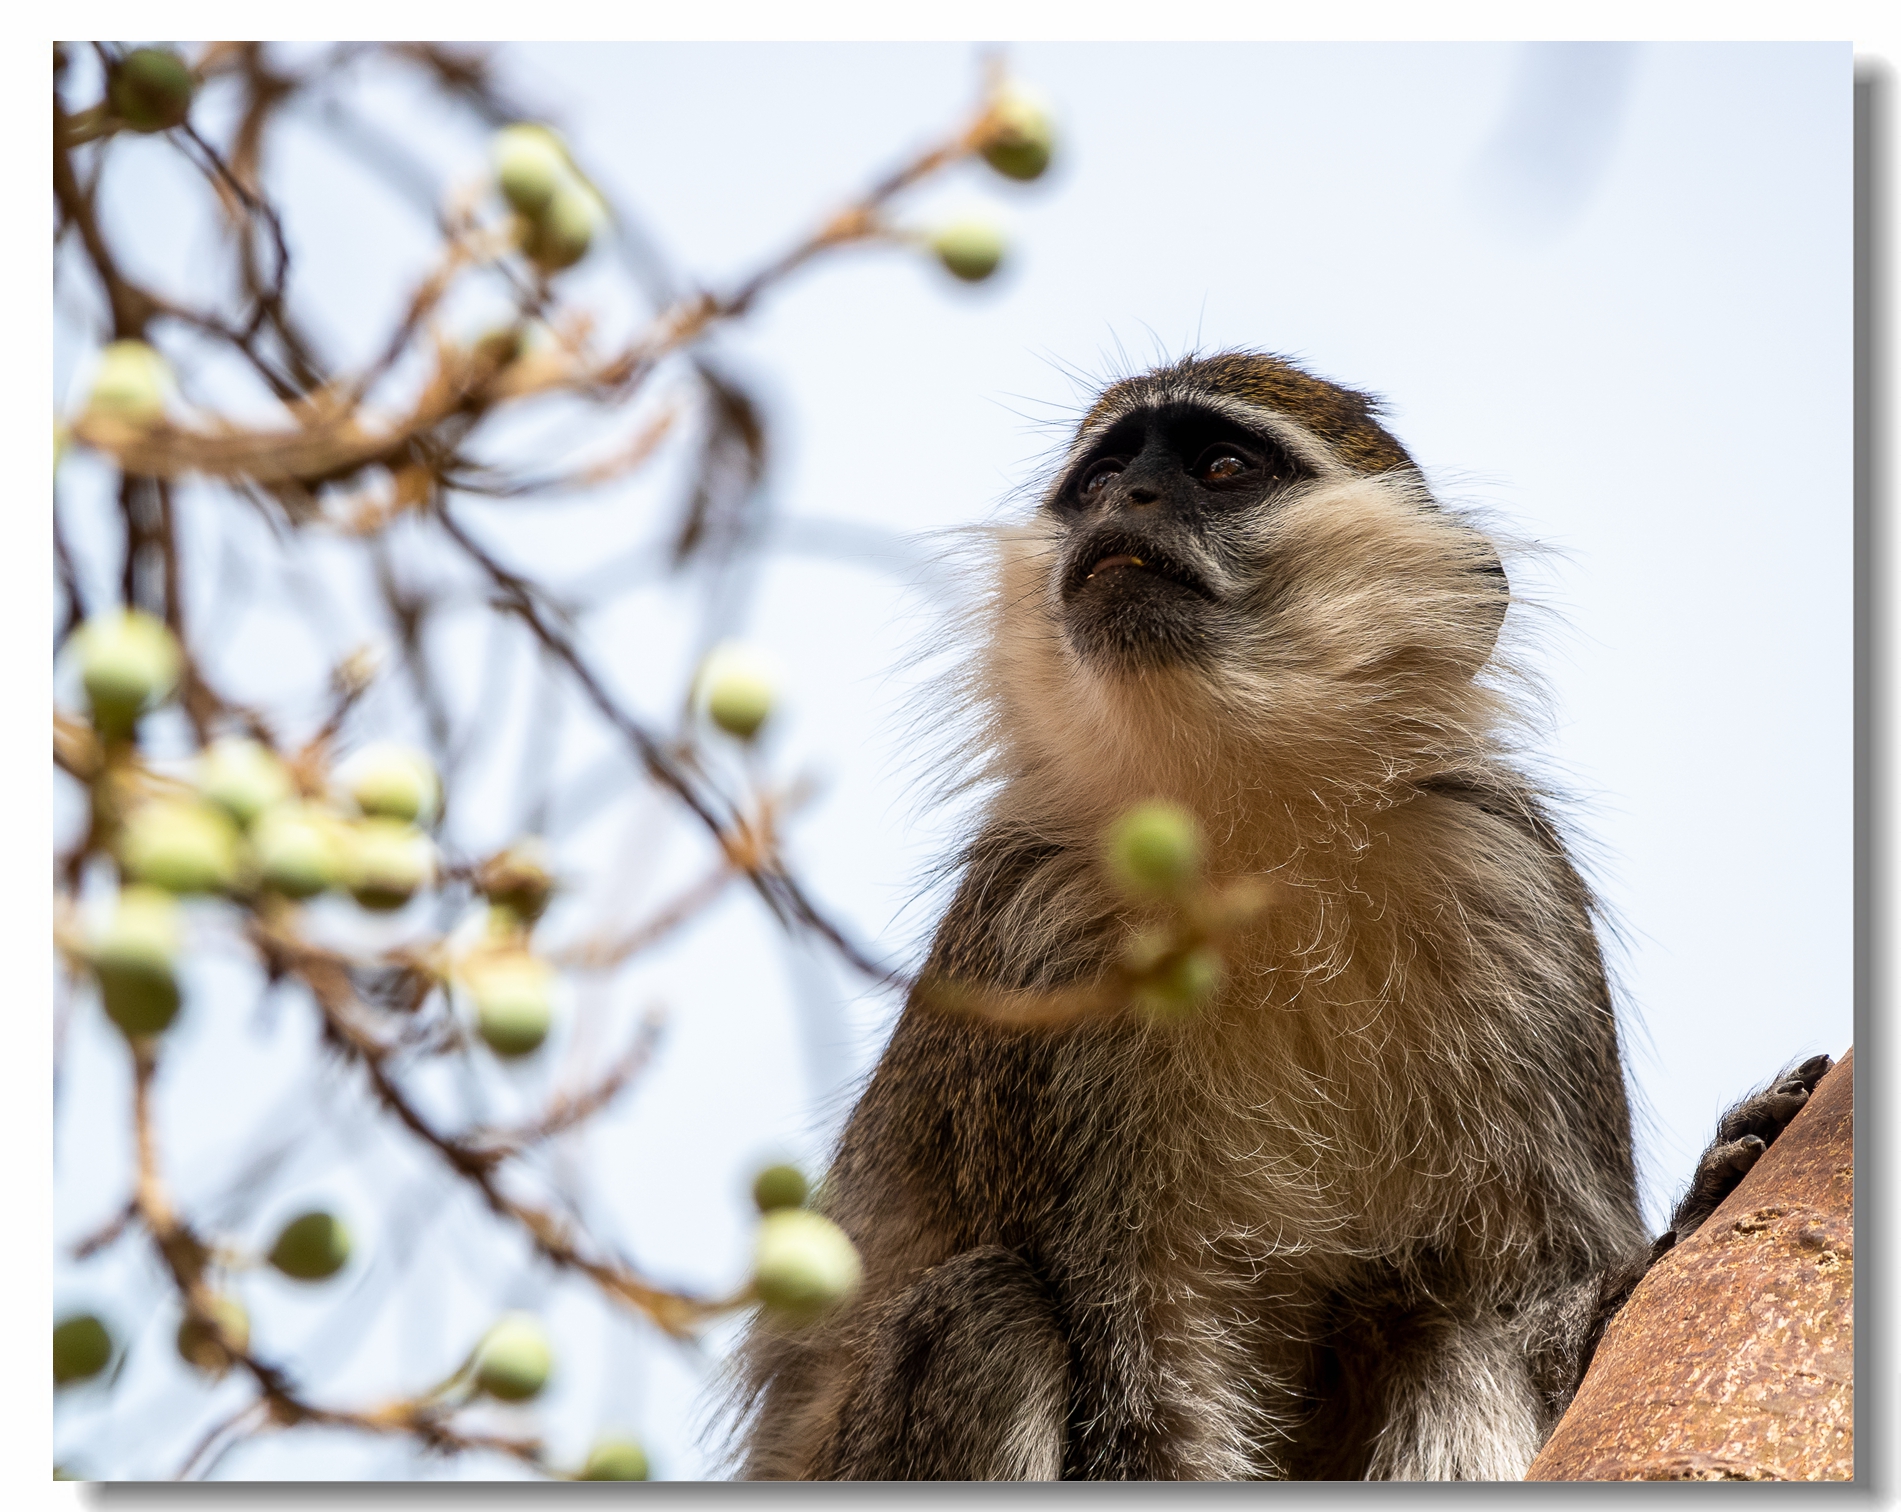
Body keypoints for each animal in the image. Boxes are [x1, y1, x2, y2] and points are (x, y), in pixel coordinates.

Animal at [733, 351, 1832, 1475]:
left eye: (1222, 466)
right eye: (1099, 479)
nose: (1125, 503)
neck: (1248, 853)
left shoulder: (1515, 895)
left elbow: (1525, 1319)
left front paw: (1663, 1248)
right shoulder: (1037, 944)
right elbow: (1146, 1395)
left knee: (1448, 1343)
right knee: (982, 1316)